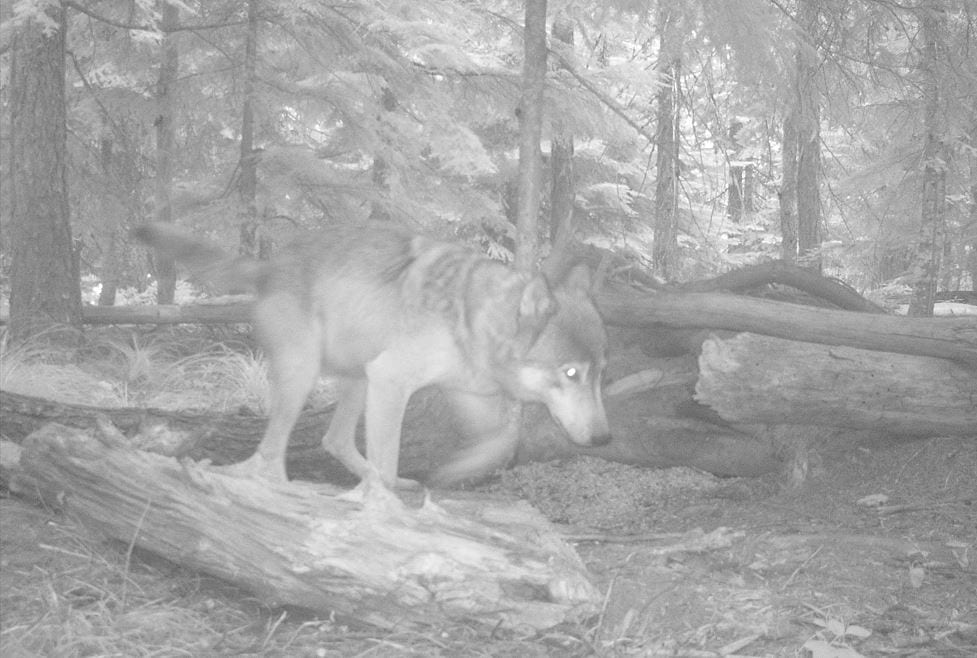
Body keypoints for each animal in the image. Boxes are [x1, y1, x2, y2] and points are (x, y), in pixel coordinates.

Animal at [134, 222, 611, 487]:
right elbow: (388, 454)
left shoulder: (463, 393)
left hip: (358, 379)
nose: (604, 439)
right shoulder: (392, 380)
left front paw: (454, 472)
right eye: (571, 373)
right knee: (269, 451)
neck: (472, 316)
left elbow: (501, 442)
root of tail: (269, 266)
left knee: (334, 439)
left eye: (600, 374)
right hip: (309, 374)